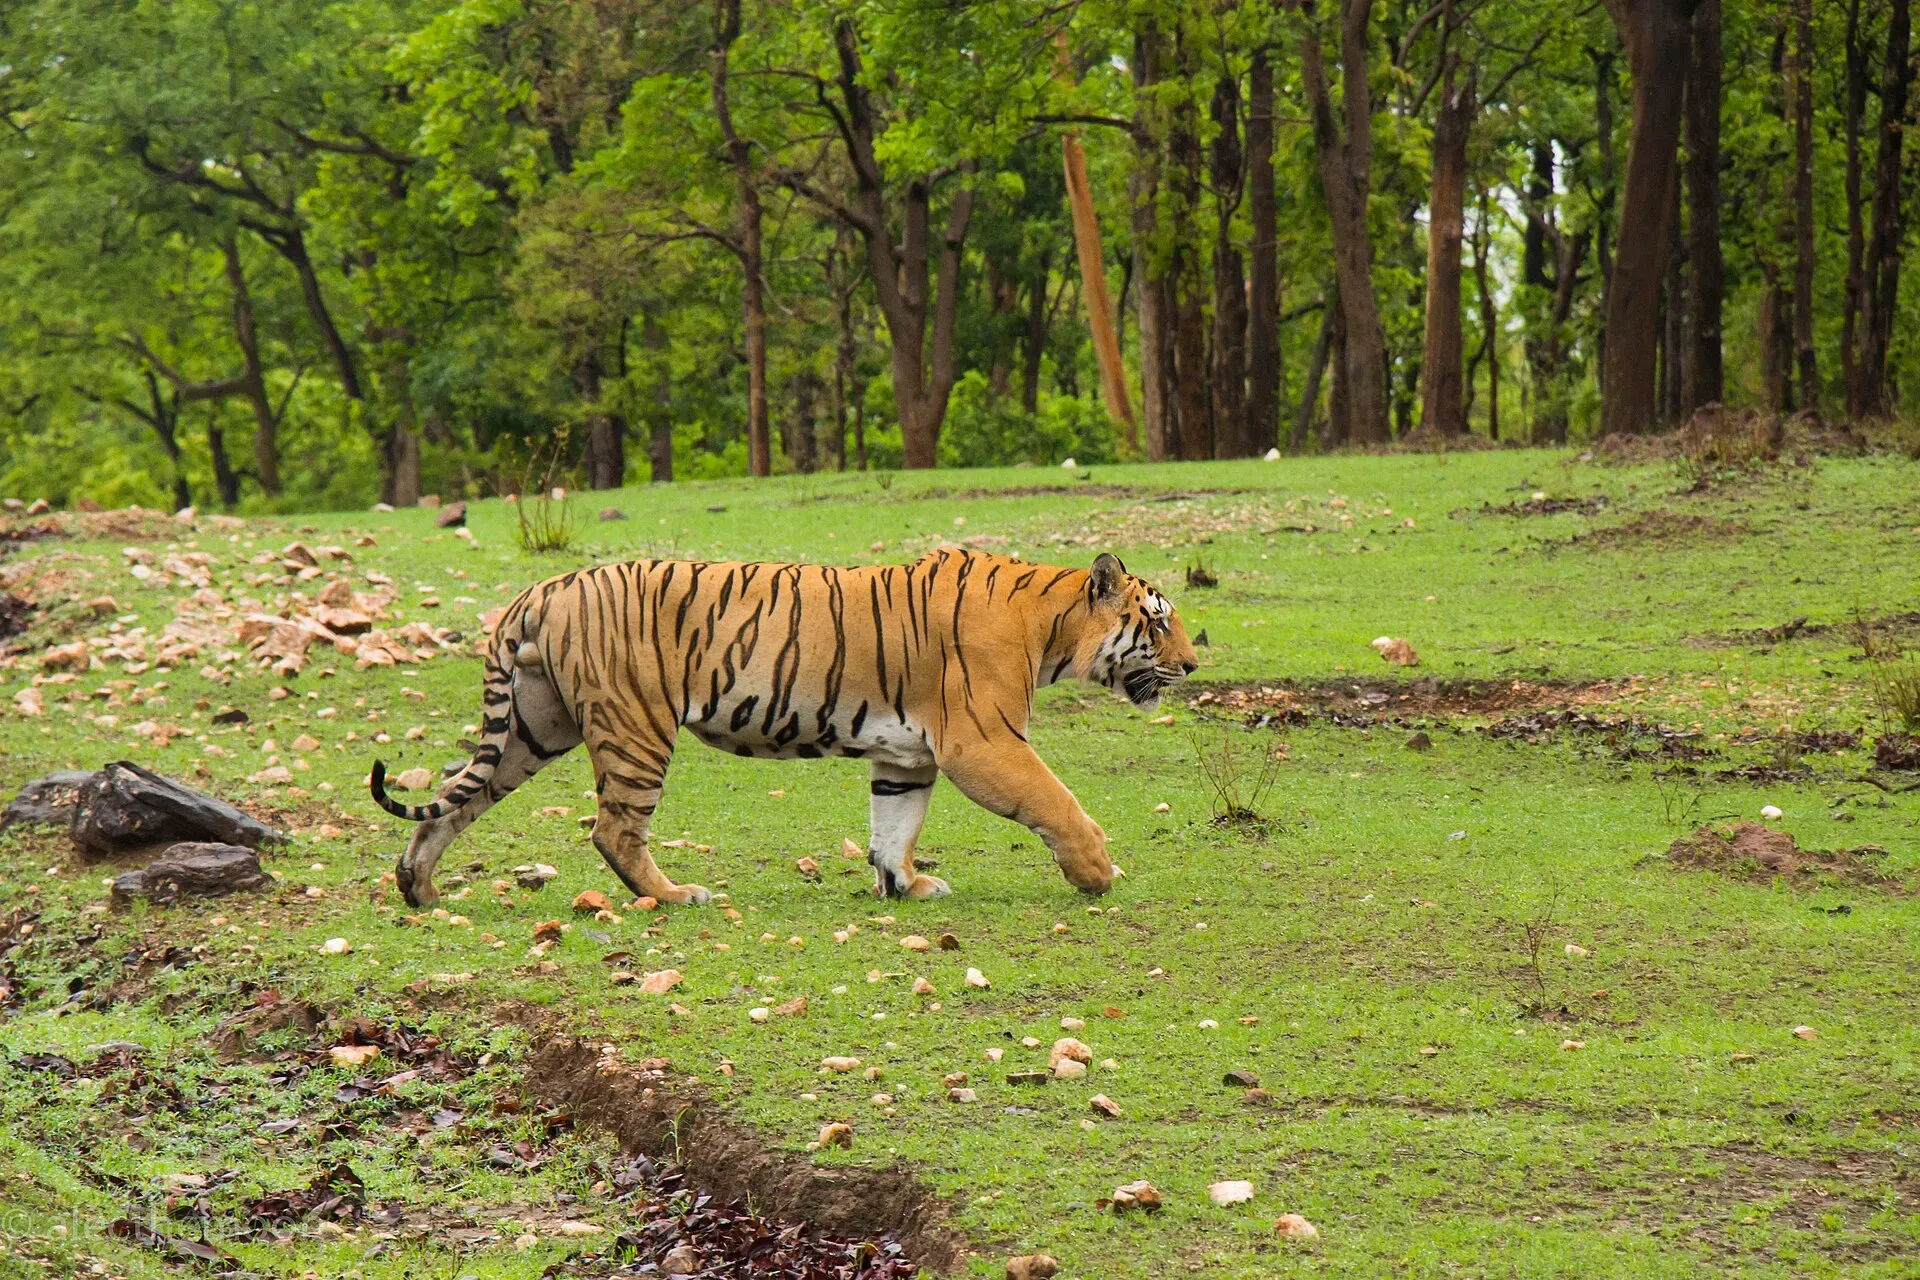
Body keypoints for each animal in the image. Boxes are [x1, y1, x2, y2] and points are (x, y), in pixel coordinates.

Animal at [370, 547, 1198, 909]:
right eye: (1158, 622)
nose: (1193, 664)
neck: (1050, 624)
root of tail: (539, 589)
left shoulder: (909, 756)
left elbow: (894, 825)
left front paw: (905, 883)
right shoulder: (981, 742)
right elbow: (1057, 802)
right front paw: (1097, 872)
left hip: (534, 729)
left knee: (453, 798)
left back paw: (420, 887)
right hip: (635, 727)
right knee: (612, 830)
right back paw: (678, 895)